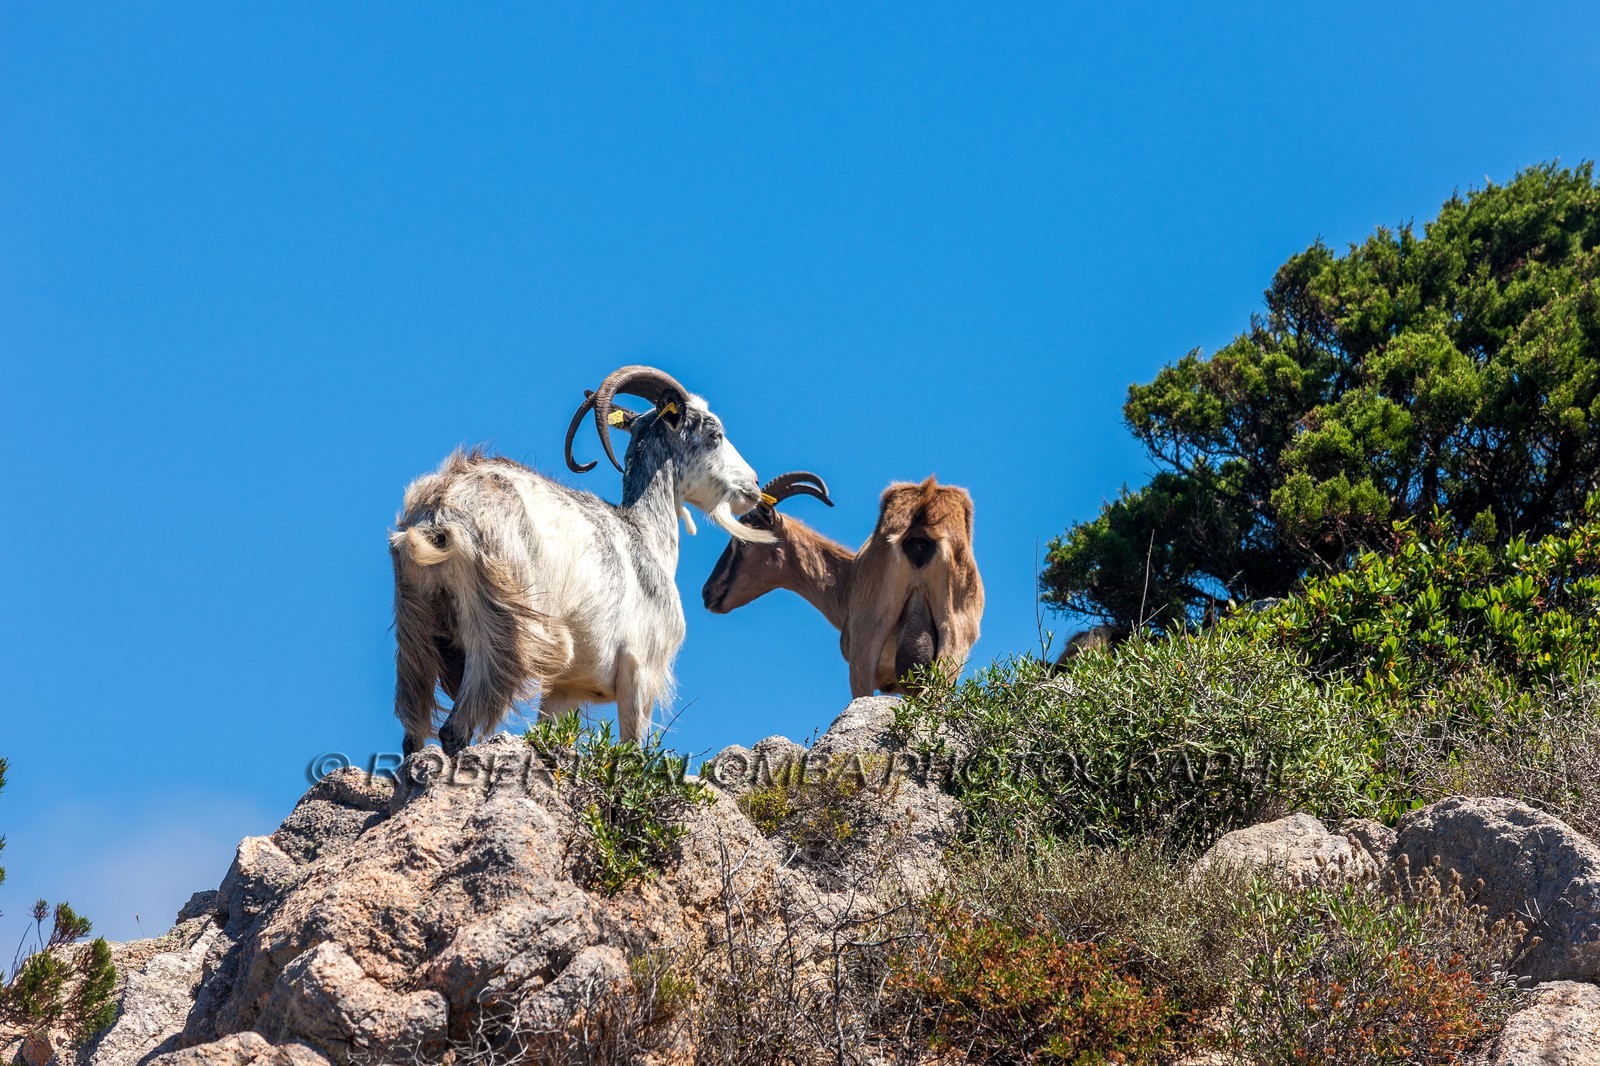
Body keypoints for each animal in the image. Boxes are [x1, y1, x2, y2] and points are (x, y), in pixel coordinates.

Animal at [390, 365, 774, 756]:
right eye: (714, 433)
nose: (752, 485)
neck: (644, 534)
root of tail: (441, 509)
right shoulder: (639, 671)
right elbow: (632, 749)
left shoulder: (566, 688)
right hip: (500, 630)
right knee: (455, 728)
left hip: (415, 632)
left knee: (413, 735)